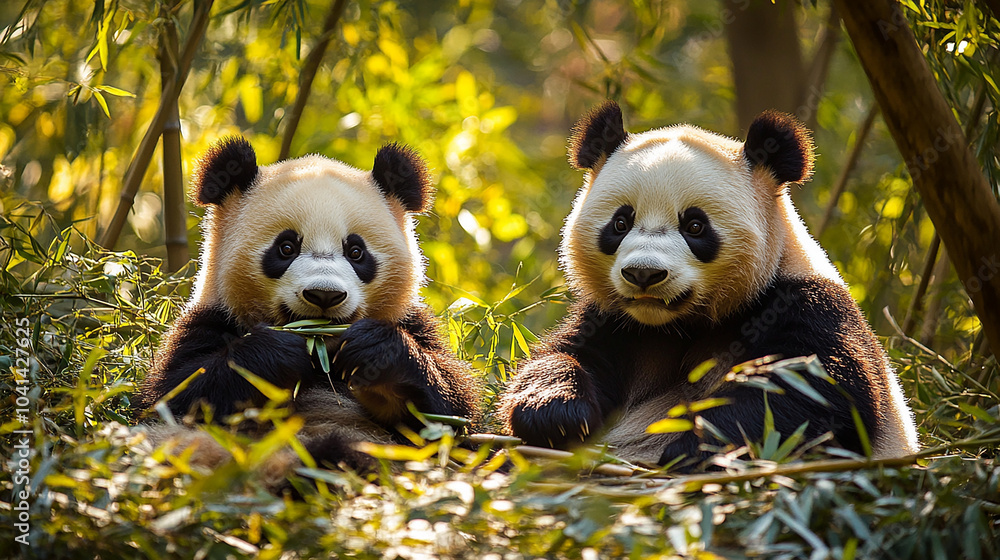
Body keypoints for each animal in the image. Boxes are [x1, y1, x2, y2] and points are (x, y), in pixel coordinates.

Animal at [135, 136, 480, 478]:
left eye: (356, 252)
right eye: (286, 248)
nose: (324, 295)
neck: (323, 353)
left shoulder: (412, 323)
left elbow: (451, 418)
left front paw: (374, 352)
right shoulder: (210, 320)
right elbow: (175, 398)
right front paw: (280, 351)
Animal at [500, 101, 919, 468]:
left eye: (695, 225)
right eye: (620, 223)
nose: (644, 274)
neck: (679, 325)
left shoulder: (805, 304)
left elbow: (811, 394)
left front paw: (693, 449)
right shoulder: (615, 322)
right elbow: (567, 356)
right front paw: (553, 412)